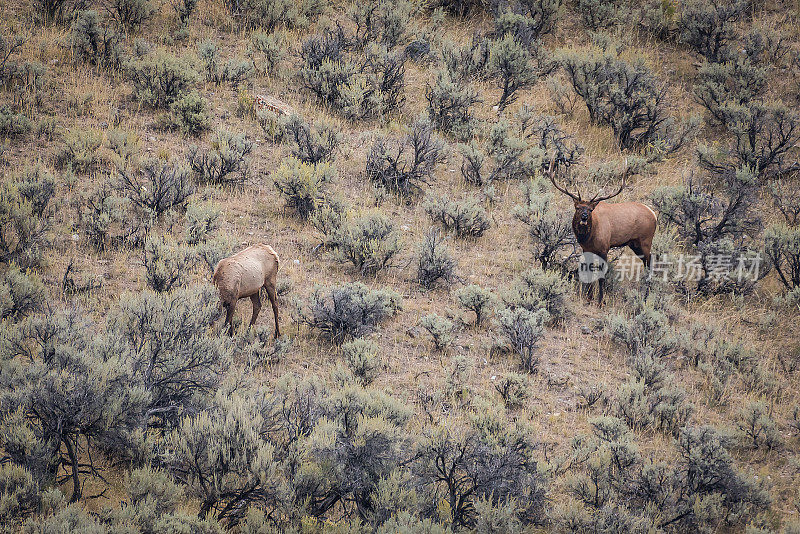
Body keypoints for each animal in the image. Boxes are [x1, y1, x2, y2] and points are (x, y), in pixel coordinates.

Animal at [552, 157, 656, 306]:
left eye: (590, 209)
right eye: (578, 207)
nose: (584, 218)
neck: (589, 237)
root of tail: (653, 214)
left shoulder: (604, 248)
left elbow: (601, 277)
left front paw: (600, 302)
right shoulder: (586, 249)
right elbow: (589, 273)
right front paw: (589, 298)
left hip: (645, 240)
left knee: (650, 262)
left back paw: (646, 297)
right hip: (635, 244)